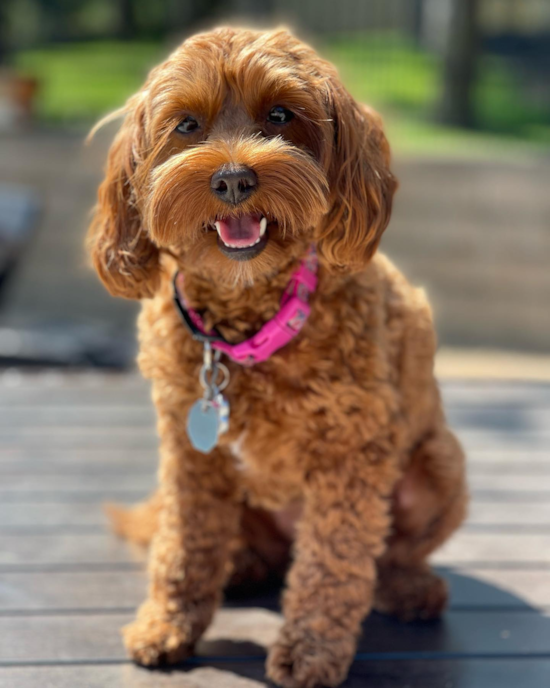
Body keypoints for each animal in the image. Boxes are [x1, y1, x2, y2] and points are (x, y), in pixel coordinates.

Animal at [88, 26, 468, 688]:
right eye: (186, 124)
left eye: (281, 116)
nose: (234, 180)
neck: (246, 326)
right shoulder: (189, 452)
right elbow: (184, 543)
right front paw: (167, 624)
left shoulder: (351, 454)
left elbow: (334, 562)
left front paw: (310, 650)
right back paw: (241, 564)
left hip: (441, 463)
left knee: (387, 553)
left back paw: (409, 589)